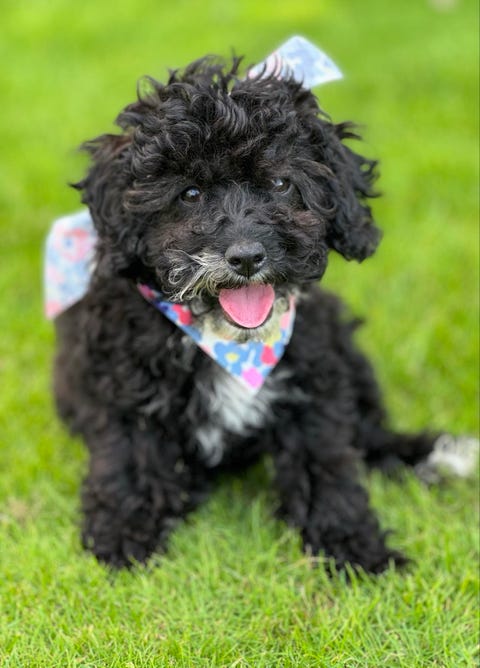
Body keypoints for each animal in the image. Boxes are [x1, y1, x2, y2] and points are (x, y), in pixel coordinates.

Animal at [51, 55, 467, 572]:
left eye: (280, 183)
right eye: (190, 193)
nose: (247, 256)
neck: (228, 344)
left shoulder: (313, 378)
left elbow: (326, 462)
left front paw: (353, 548)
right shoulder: (122, 385)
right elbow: (129, 458)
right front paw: (124, 536)